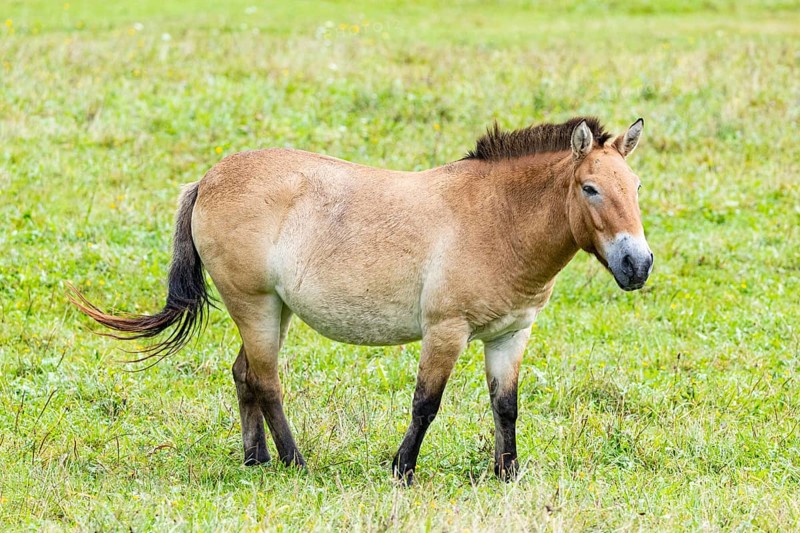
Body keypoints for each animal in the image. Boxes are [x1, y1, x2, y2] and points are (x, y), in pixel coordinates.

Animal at [70, 116, 653, 485]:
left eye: (637, 186)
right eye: (591, 189)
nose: (638, 265)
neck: (498, 218)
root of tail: (207, 179)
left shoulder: (511, 334)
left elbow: (505, 406)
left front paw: (506, 474)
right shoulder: (446, 331)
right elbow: (426, 404)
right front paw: (402, 471)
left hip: (273, 310)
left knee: (244, 375)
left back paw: (256, 459)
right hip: (255, 305)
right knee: (266, 381)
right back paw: (295, 463)